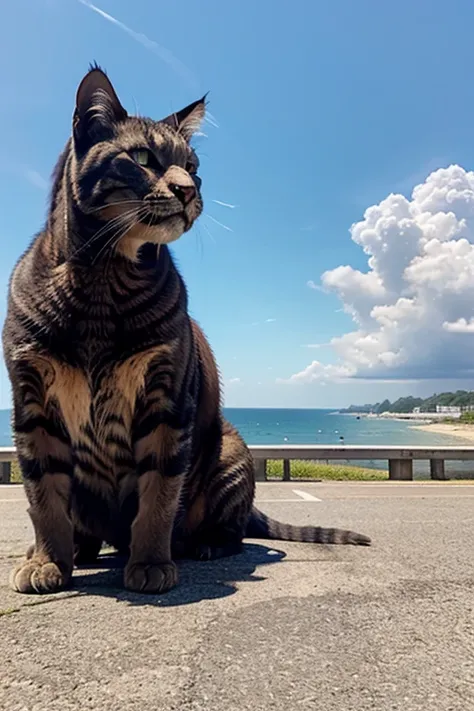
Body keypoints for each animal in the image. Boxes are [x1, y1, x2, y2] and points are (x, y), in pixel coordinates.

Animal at [1, 65, 370, 596]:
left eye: (192, 166)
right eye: (142, 158)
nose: (189, 190)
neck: (101, 283)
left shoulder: (167, 399)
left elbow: (159, 493)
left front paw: (151, 561)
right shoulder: (31, 405)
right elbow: (42, 496)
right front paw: (48, 559)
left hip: (230, 447)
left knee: (230, 530)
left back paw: (202, 544)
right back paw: (81, 550)